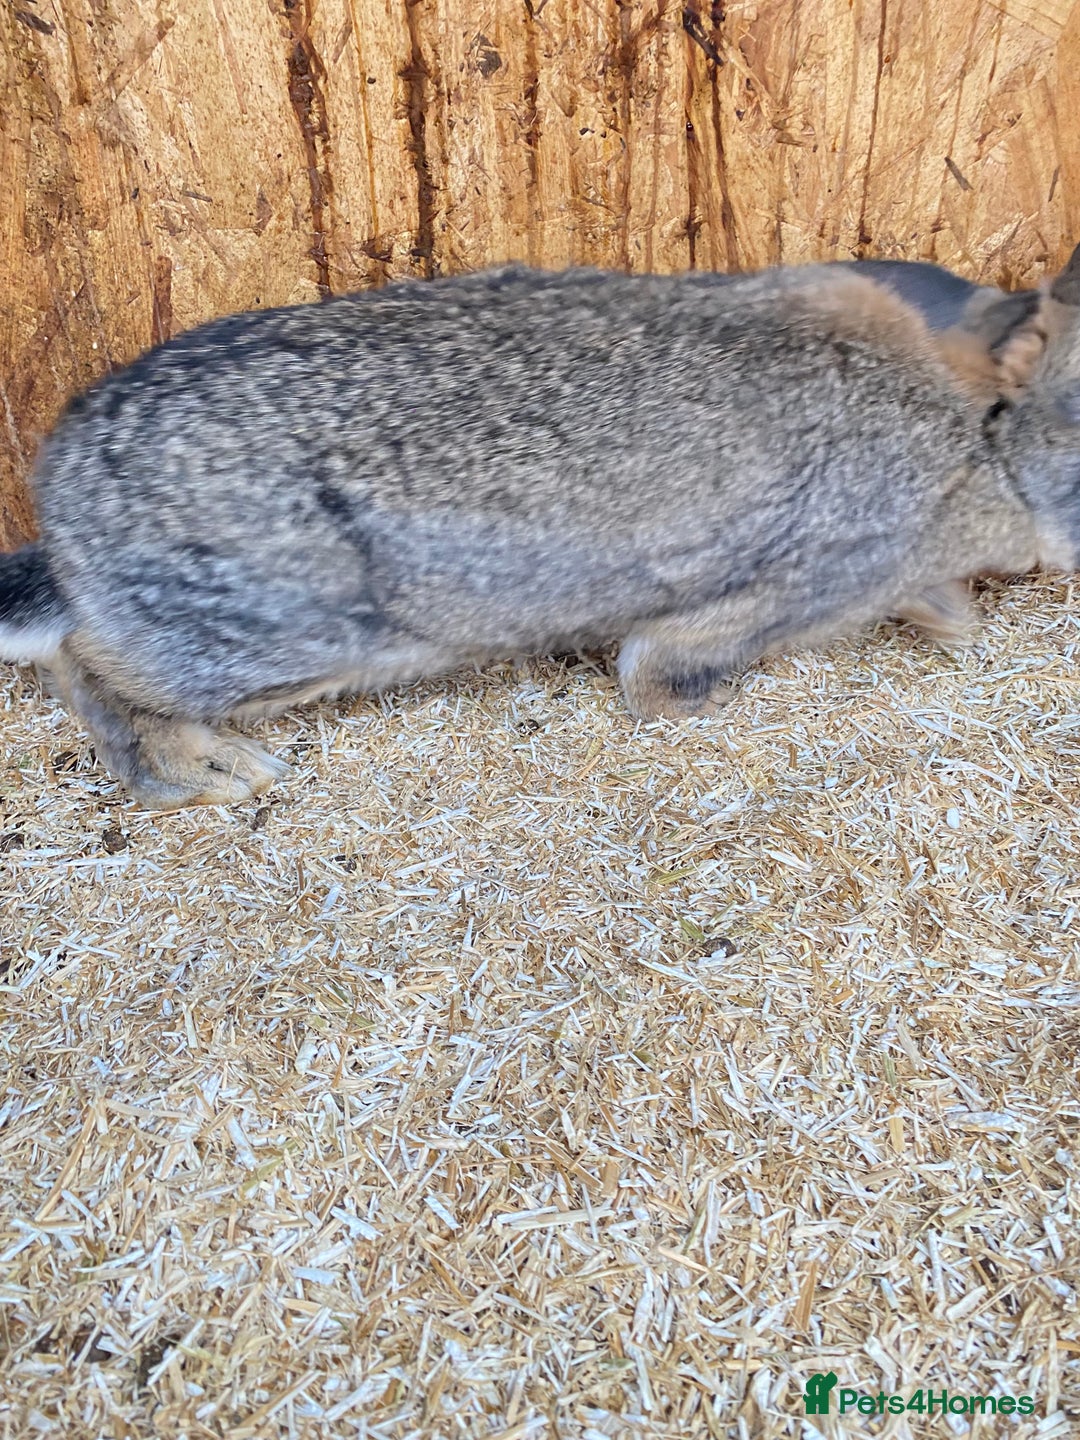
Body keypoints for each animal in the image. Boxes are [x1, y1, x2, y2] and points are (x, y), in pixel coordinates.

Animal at [0, 250, 1071, 809]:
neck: (977, 429)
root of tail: (65, 504)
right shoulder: (797, 589)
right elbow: (665, 672)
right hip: (276, 636)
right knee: (92, 667)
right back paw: (218, 774)